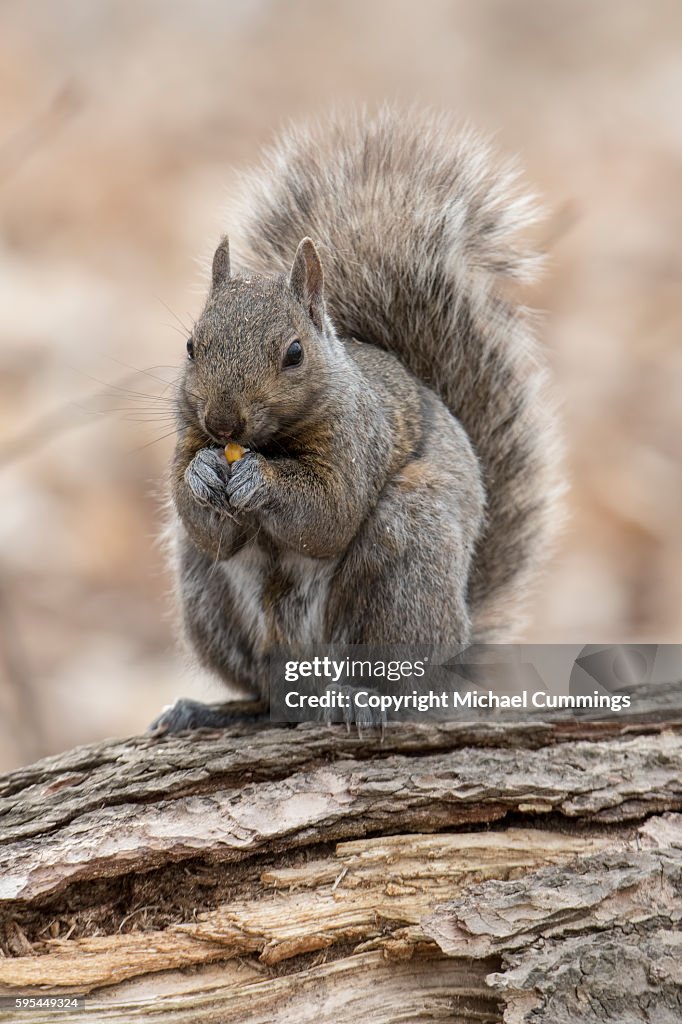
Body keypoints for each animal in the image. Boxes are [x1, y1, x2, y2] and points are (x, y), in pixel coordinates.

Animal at [151, 108, 561, 733]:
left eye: (294, 353)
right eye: (192, 346)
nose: (222, 424)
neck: (268, 442)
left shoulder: (358, 438)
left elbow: (330, 514)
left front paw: (259, 481)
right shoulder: (186, 439)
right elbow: (207, 528)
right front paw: (201, 476)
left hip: (406, 566)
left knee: (402, 676)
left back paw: (365, 699)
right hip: (205, 594)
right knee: (262, 689)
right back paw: (208, 711)